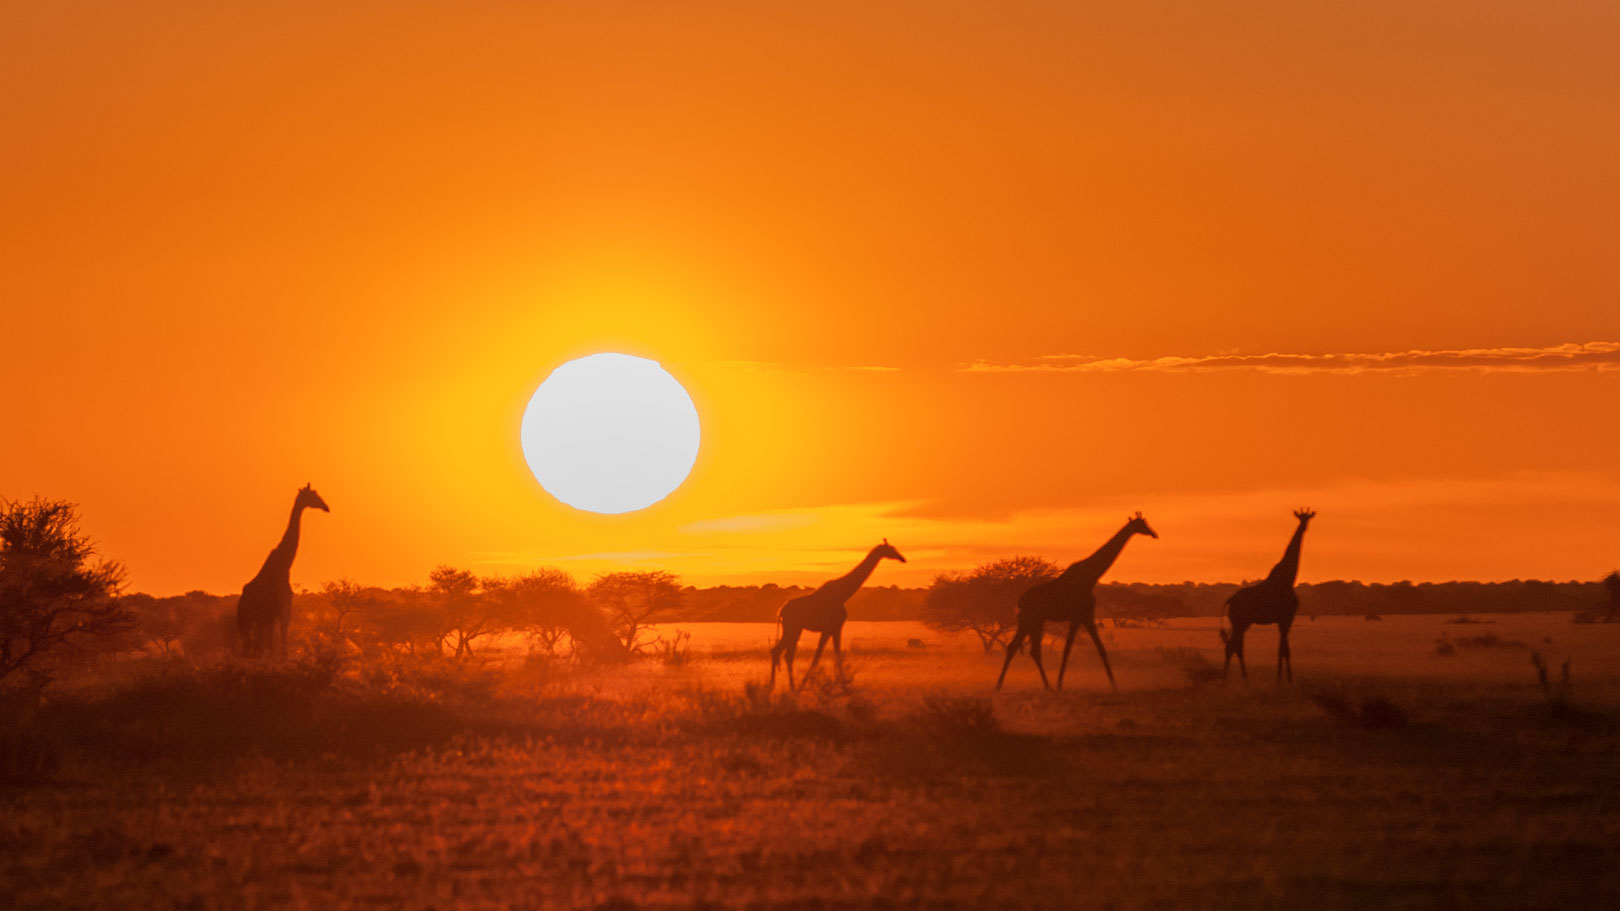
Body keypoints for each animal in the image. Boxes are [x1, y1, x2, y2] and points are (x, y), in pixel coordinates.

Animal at [236, 483, 328, 651]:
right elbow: (282, 646)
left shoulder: (272, 615)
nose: (326, 507)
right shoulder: (284, 611)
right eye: (313, 495)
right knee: (252, 648)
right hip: (248, 620)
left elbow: (273, 646)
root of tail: (240, 602)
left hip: (252, 621)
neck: (285, 564)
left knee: (253, 647)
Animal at [991, 512, 1159, 687]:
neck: (1091, 578)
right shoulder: (1080, 616)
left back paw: (1045, 686)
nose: (1154, 534)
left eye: (1146, 522)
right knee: (1018, 647)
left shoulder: (1085, 617)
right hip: (1029, 619)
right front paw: (1060, 684)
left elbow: (1100, 649)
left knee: (1029, 649)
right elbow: (1069, 650)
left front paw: (1113, 684)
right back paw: (1003, 685)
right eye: (1141, 524)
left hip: (1035, 621)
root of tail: (1020, 601)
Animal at [1218, 505, 1315, 677]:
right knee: (1233, 646)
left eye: (1308, 518)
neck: (1288, 578)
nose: (1304, 527)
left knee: (1234, 646)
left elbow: (1283, 649)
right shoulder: (1287, 617)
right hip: (1240, 622)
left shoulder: (1285, 619)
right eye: (1300, 518)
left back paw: (1239, 678)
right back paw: (1235, 679)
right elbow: (1284, 649)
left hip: (1242, 623)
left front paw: (1283, 678)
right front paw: (1285, 679)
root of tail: (1229, 600)